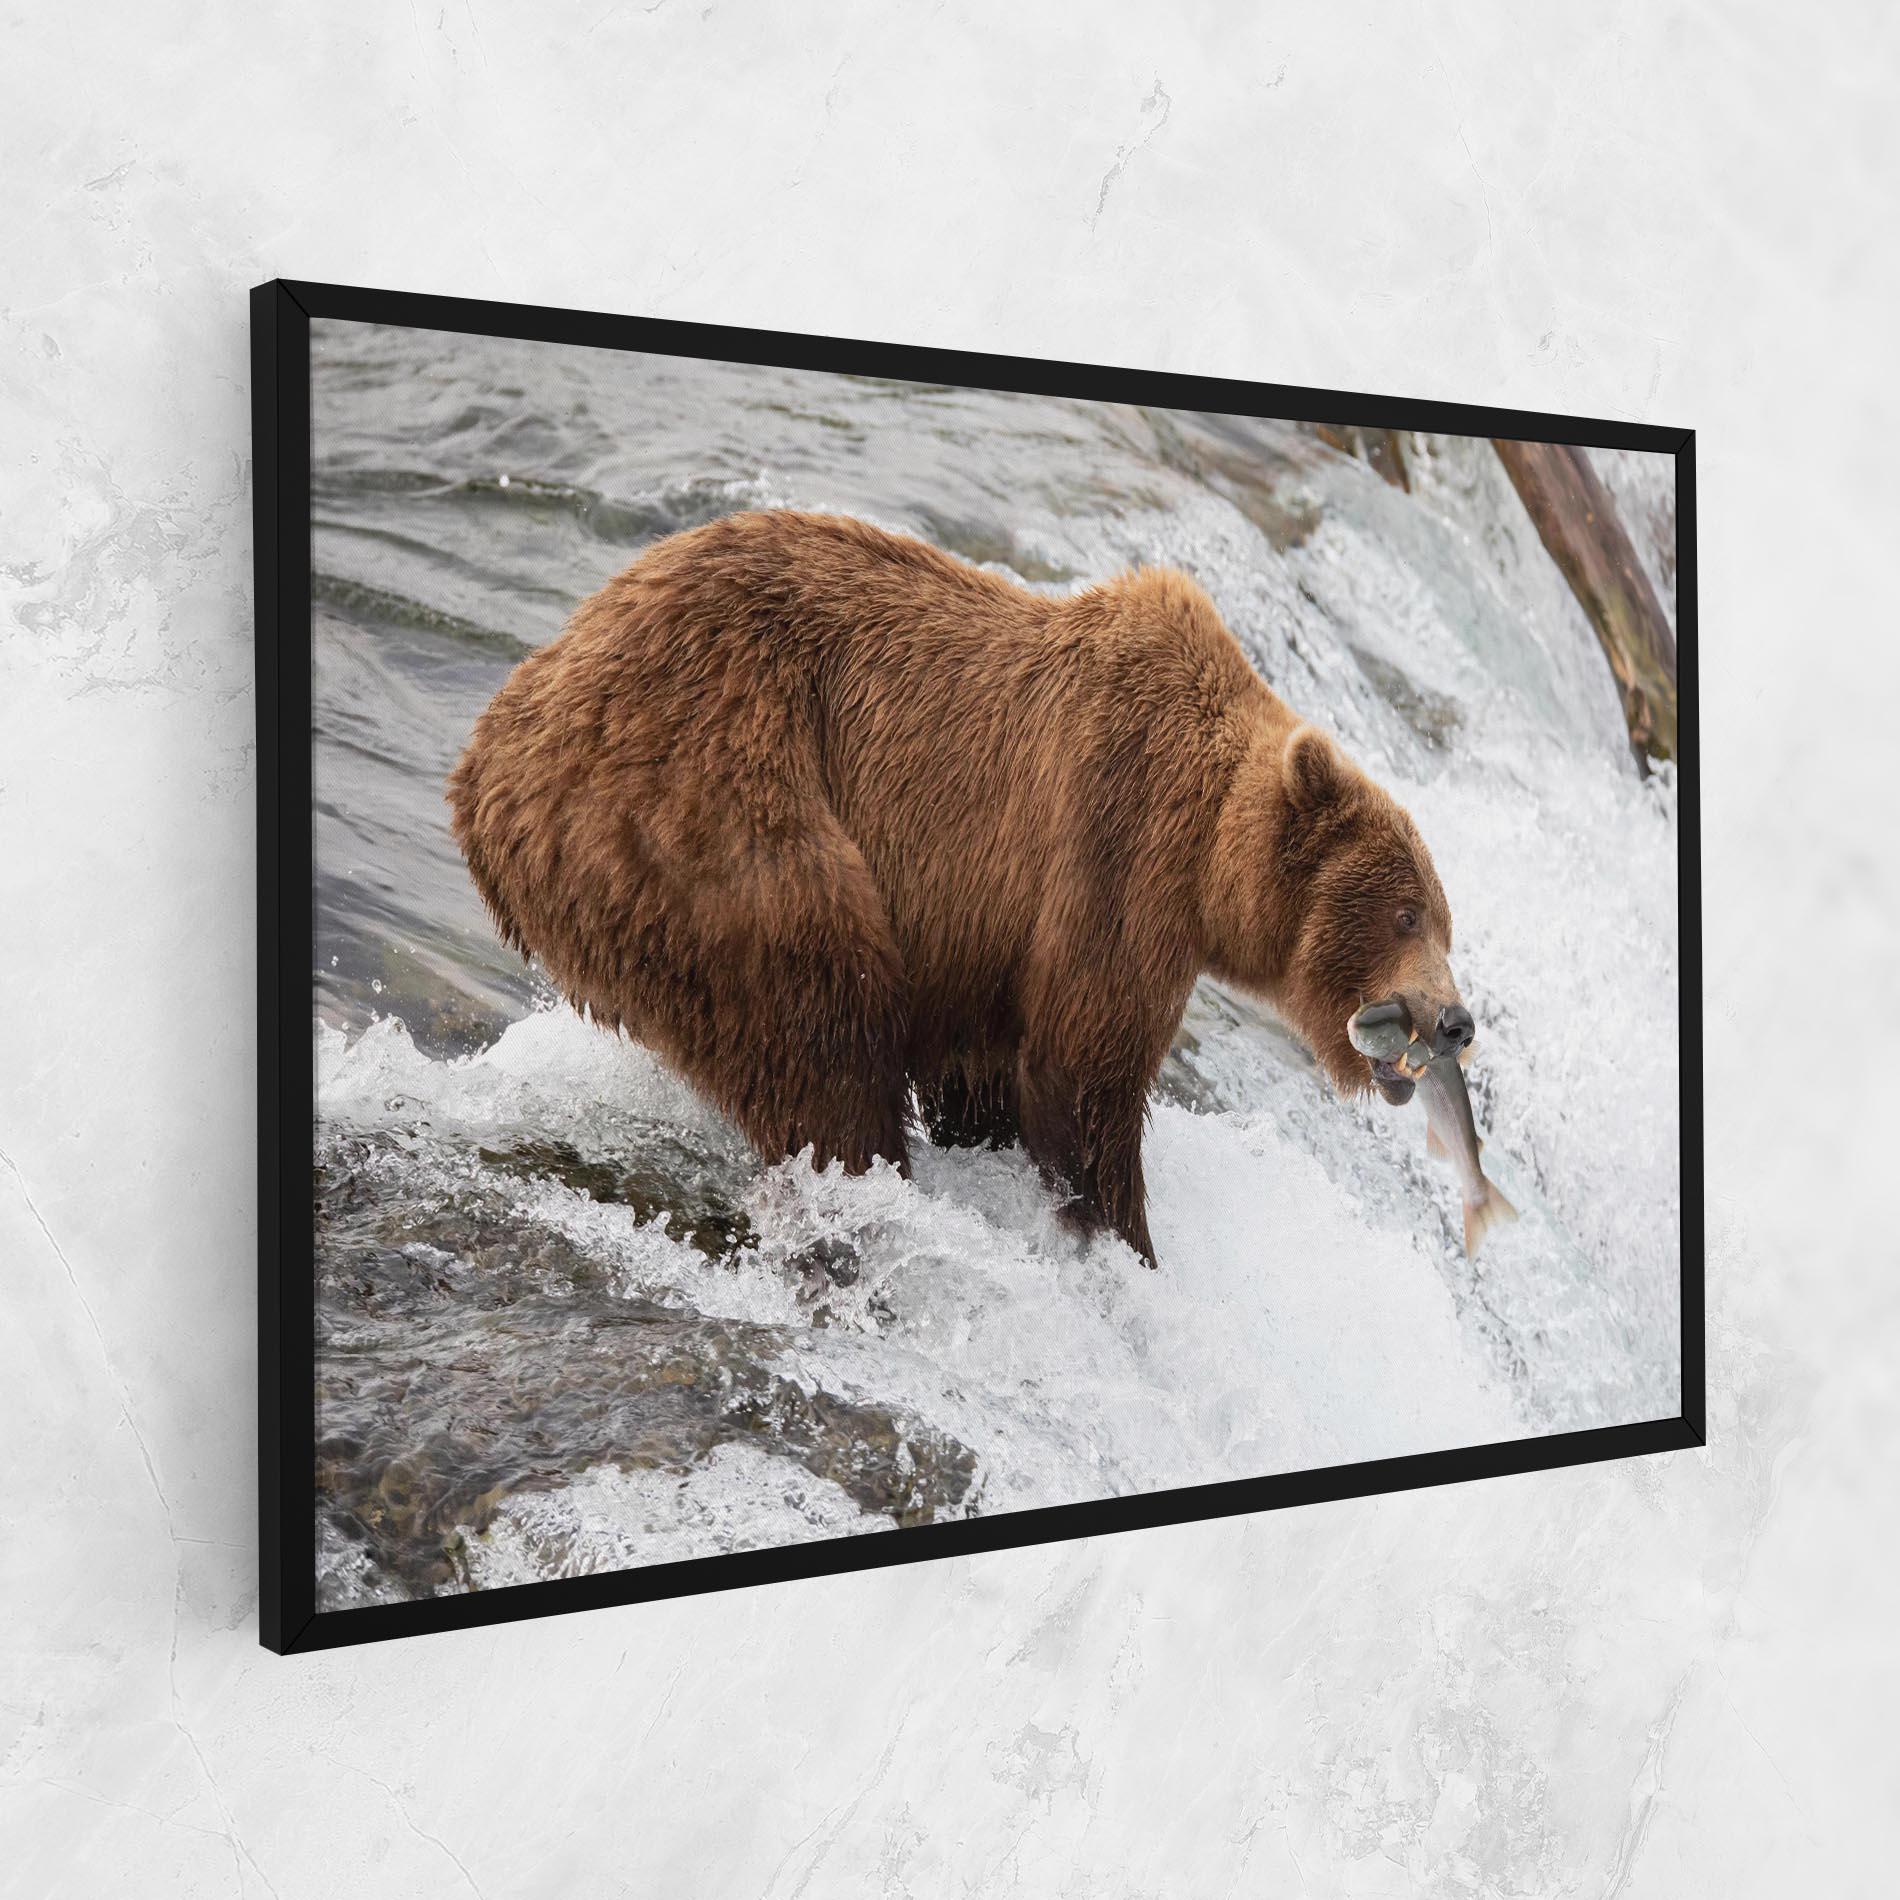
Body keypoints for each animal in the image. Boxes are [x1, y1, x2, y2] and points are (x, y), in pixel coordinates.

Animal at [447, 509, 1470, 1269]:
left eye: (1446, 923)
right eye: (1405, 912)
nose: (1455, 1020)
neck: (1210, 853)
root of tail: (488, 753)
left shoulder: (986, 936)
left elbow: (988, 1072)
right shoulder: (1114, 849)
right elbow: (1084, 1071)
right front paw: (1126, 1241)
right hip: (704, 796)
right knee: (822, 1014)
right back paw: (864, 1184)